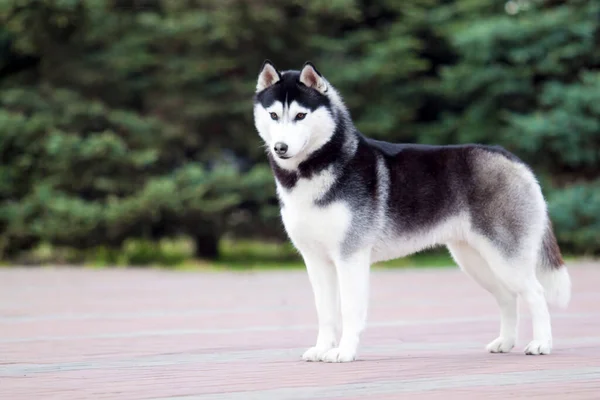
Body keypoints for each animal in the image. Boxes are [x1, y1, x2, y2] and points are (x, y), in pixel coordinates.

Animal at [251, 59, 568, 362]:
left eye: (300, 116)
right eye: (274, 115)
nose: (280, 147)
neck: (315, 169)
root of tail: (514, 159)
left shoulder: (350, 256)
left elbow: (350, 310)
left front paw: (344, 352)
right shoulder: (315, 260)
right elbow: (325, 312)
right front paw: (321, 349)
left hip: (505, 257)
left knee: (536, 293)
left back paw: (541, 344)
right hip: (475, 260)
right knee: (507, 297)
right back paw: (505, 342)